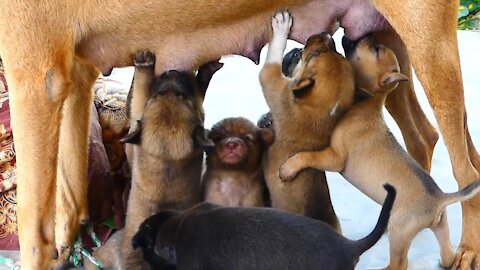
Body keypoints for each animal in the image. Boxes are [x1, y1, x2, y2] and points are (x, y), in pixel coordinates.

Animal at [258, 11, 356, 230]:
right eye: (338, 53)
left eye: (313, 56)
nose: (325, 34)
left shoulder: (272, 80)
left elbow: (274, 51)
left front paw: (281, 26)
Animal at [280, 35, 480, 270]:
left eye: (375, 49)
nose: (355, 36)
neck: (366, 104)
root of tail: (438, 199)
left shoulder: (335, 158)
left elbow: (309, 156)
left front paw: (289, 167)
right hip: (440, 225)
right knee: (447, 254)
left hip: (399, 230)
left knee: (399, 264)